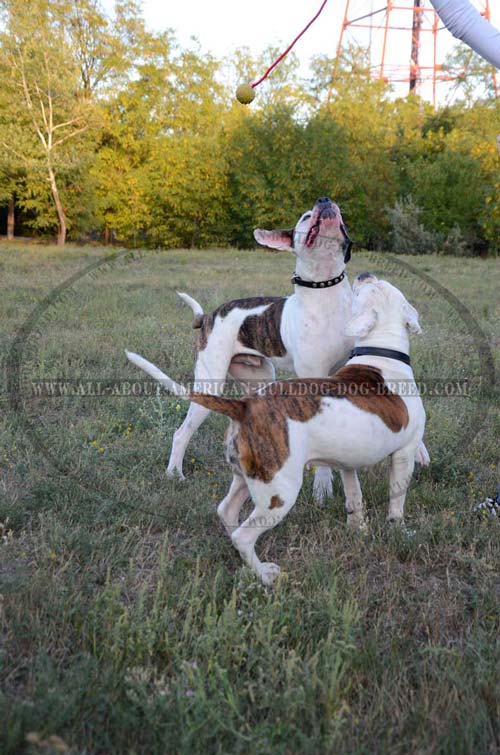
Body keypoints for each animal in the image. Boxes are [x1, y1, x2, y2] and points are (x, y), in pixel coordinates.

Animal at [126, 274, 430, 588]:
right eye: (373, 287)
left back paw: (244, 560)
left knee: (227, 511)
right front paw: (399, 531)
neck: (379, 353)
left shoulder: (348, 462)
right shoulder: (404, 453)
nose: (363, 274)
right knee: (243, 534)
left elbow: (354, 497)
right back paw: (264, 574)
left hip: (250, 474)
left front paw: (359, 530)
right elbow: (397, 498)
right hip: (279, 490)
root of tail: (244, 406)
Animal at [162, 198, 354, 502]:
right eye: (305, 217)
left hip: (259, 380)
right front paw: (323, 489)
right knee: (182, 432)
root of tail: (208, 316)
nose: (324, 200)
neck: (326, 291)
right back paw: (174, 475)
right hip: (209, 383)